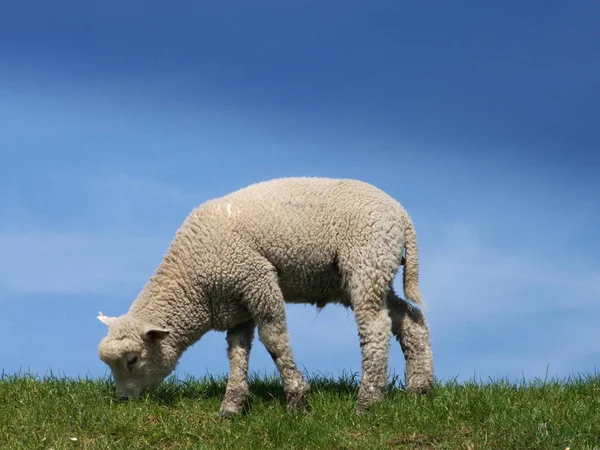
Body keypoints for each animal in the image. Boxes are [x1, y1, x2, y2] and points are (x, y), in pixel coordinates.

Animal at [97, 178, 436, 416]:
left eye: (132, 359)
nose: (123, 401)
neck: (193, 281)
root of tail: (400, 211)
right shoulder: (236, 303)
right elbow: (237, 351)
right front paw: (232, 406)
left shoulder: (257, 278)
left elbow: (274, 339)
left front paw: (297, 399)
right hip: (371, 272)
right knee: (409, 319)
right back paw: (420, 388)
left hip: (366, 259)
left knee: (376, 327)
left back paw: (368, 400)